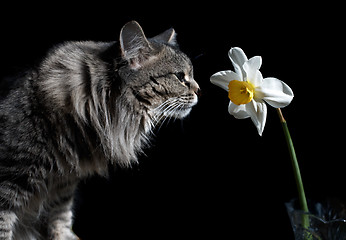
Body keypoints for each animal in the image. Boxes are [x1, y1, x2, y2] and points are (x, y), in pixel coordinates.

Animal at [0, 21, 199, 239]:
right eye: (180, 77)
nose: (199, 89)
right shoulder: (9, 183)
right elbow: (5, 228)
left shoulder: (63, 185)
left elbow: (60, 218)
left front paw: (65, 235)